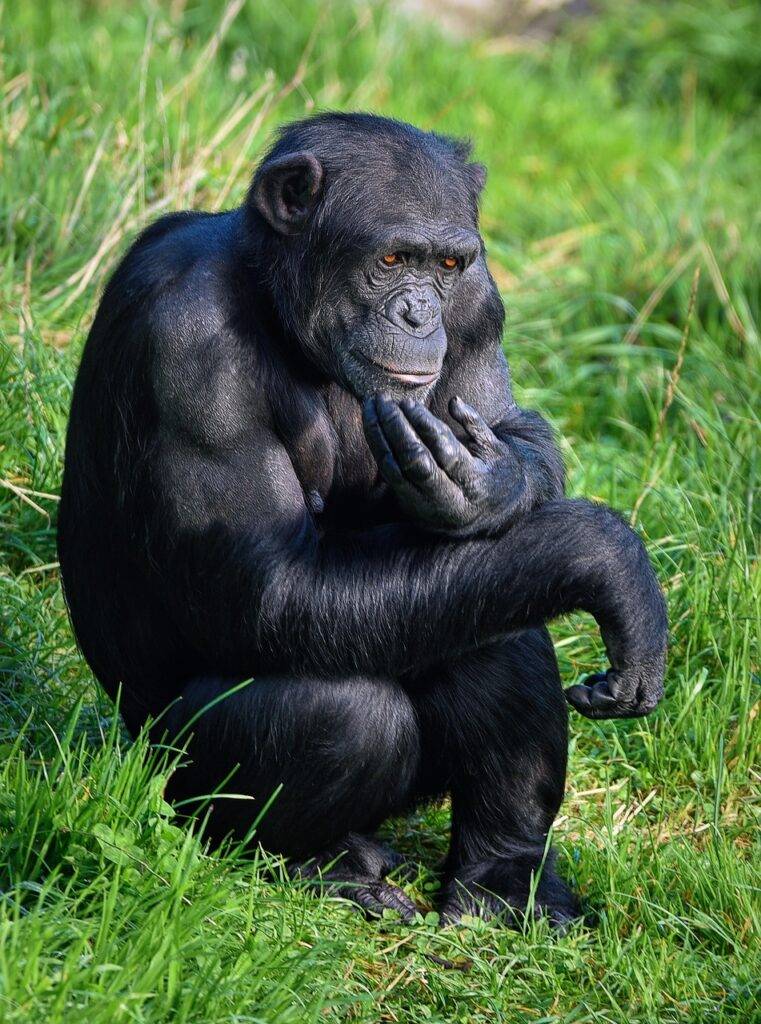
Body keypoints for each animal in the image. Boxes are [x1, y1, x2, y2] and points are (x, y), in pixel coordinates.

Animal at [59, 114, 667, 929]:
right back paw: (324, 863)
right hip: (169, 780)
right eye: (390, 259)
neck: (276, 302)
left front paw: (487, 485)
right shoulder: (190, 348)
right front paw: (606, 560)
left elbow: (514, 431)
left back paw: (502, 881)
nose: (420, 313)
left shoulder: (479, 301)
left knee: (496, 621)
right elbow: (277, 592)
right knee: (341, 713)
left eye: (446, 263)